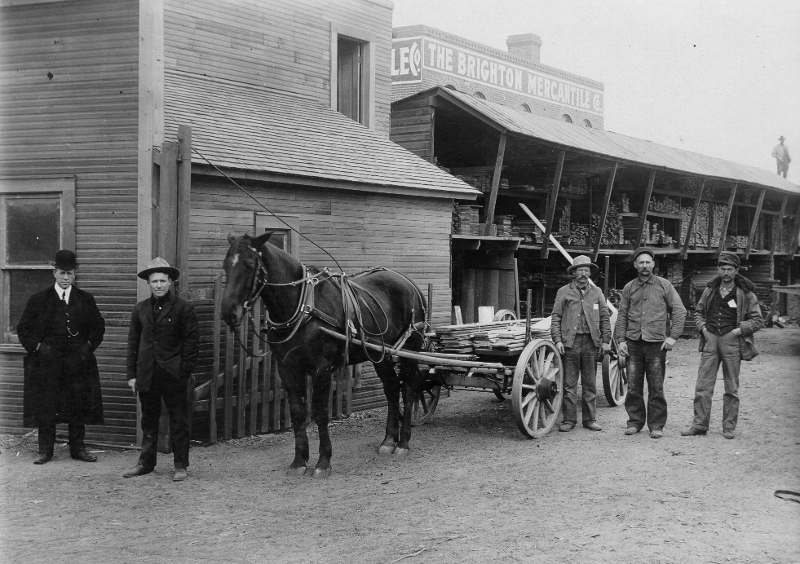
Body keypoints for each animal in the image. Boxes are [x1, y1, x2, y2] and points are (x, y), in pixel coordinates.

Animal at [219, 231, 432, 478]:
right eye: (226, 264)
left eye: (249, 264)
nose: (228, 313)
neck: (302, 306)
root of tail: (409, 283)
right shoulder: (287, 369)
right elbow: (298, 412)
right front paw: (299, 461)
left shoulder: (322, 369)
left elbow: (320, 413)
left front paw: (323, 461)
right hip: (382, 354)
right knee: (391, 389)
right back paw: (389, 440)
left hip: (409, 350)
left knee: (409, 389)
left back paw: (403, 442)